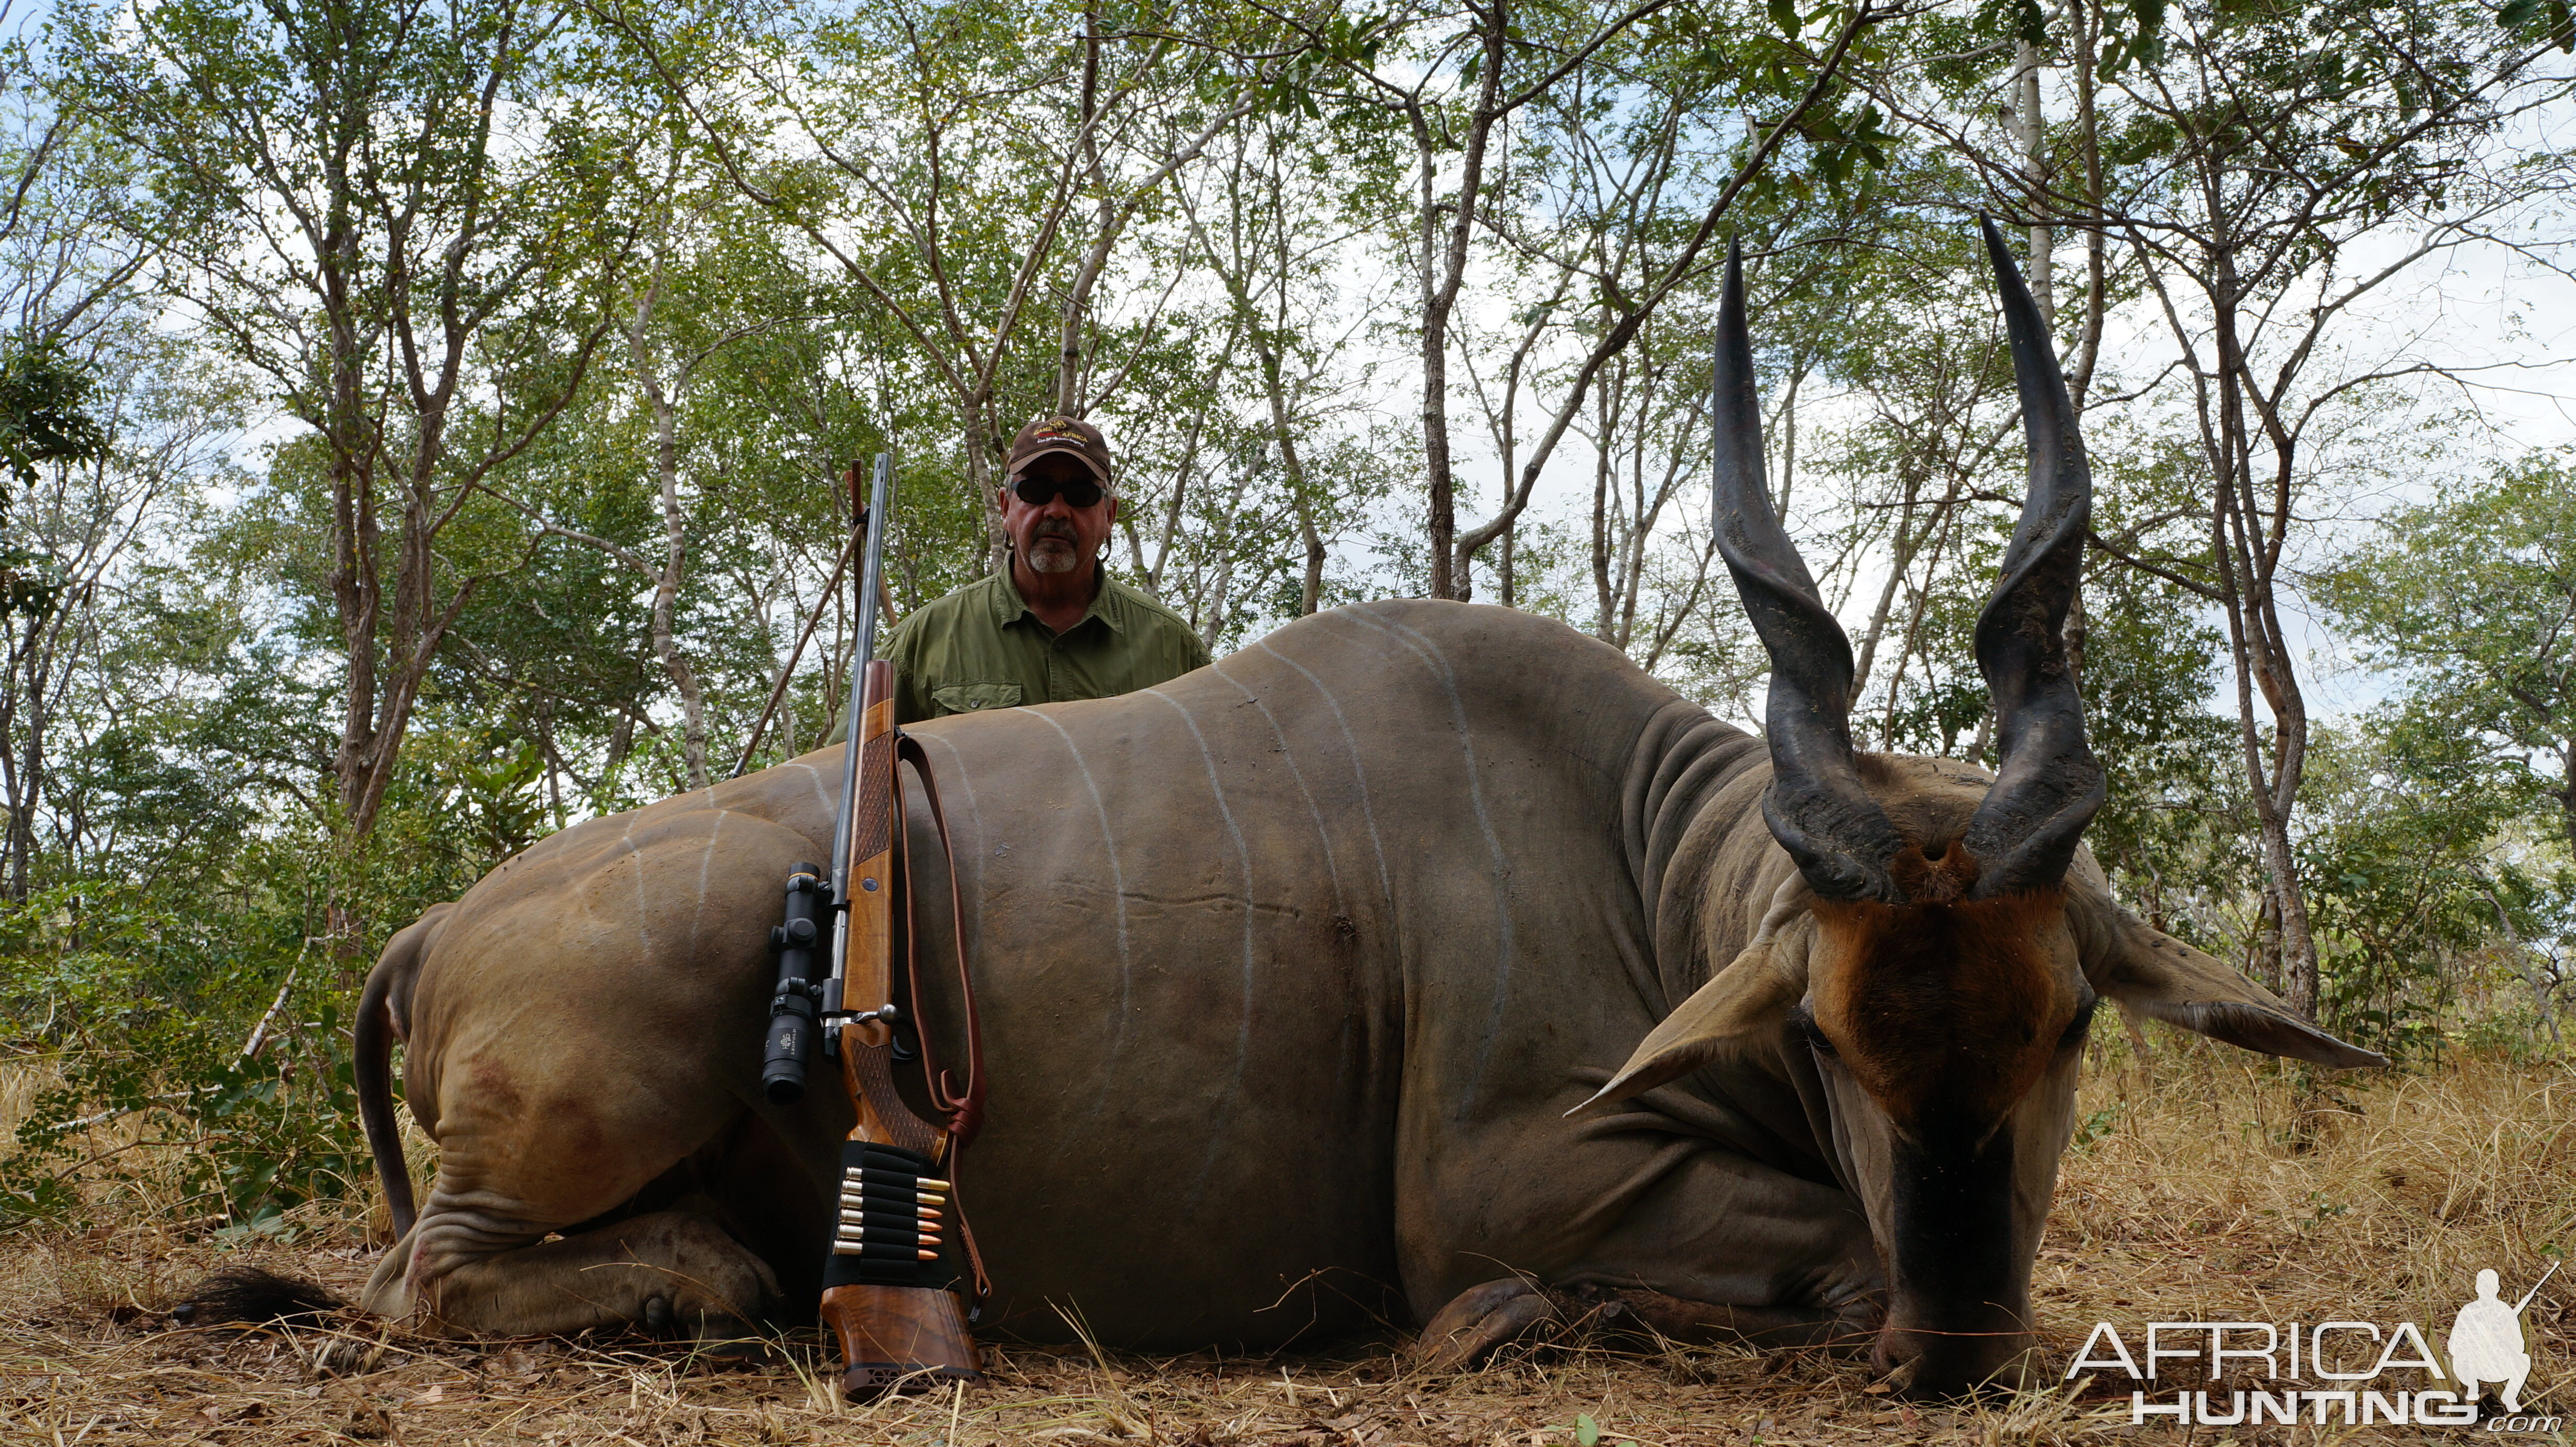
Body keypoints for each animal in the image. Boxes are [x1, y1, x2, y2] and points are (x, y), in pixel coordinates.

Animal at [342, 222, 2370, 1390]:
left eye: (2069, 1025)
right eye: (1823, 1032)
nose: (1963, 1350)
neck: (1640, 854)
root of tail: (433, 928)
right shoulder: (1508, 1174)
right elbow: (1808, 1258)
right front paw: (1502, 1322)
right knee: (432, 1276)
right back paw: (711, 1276)